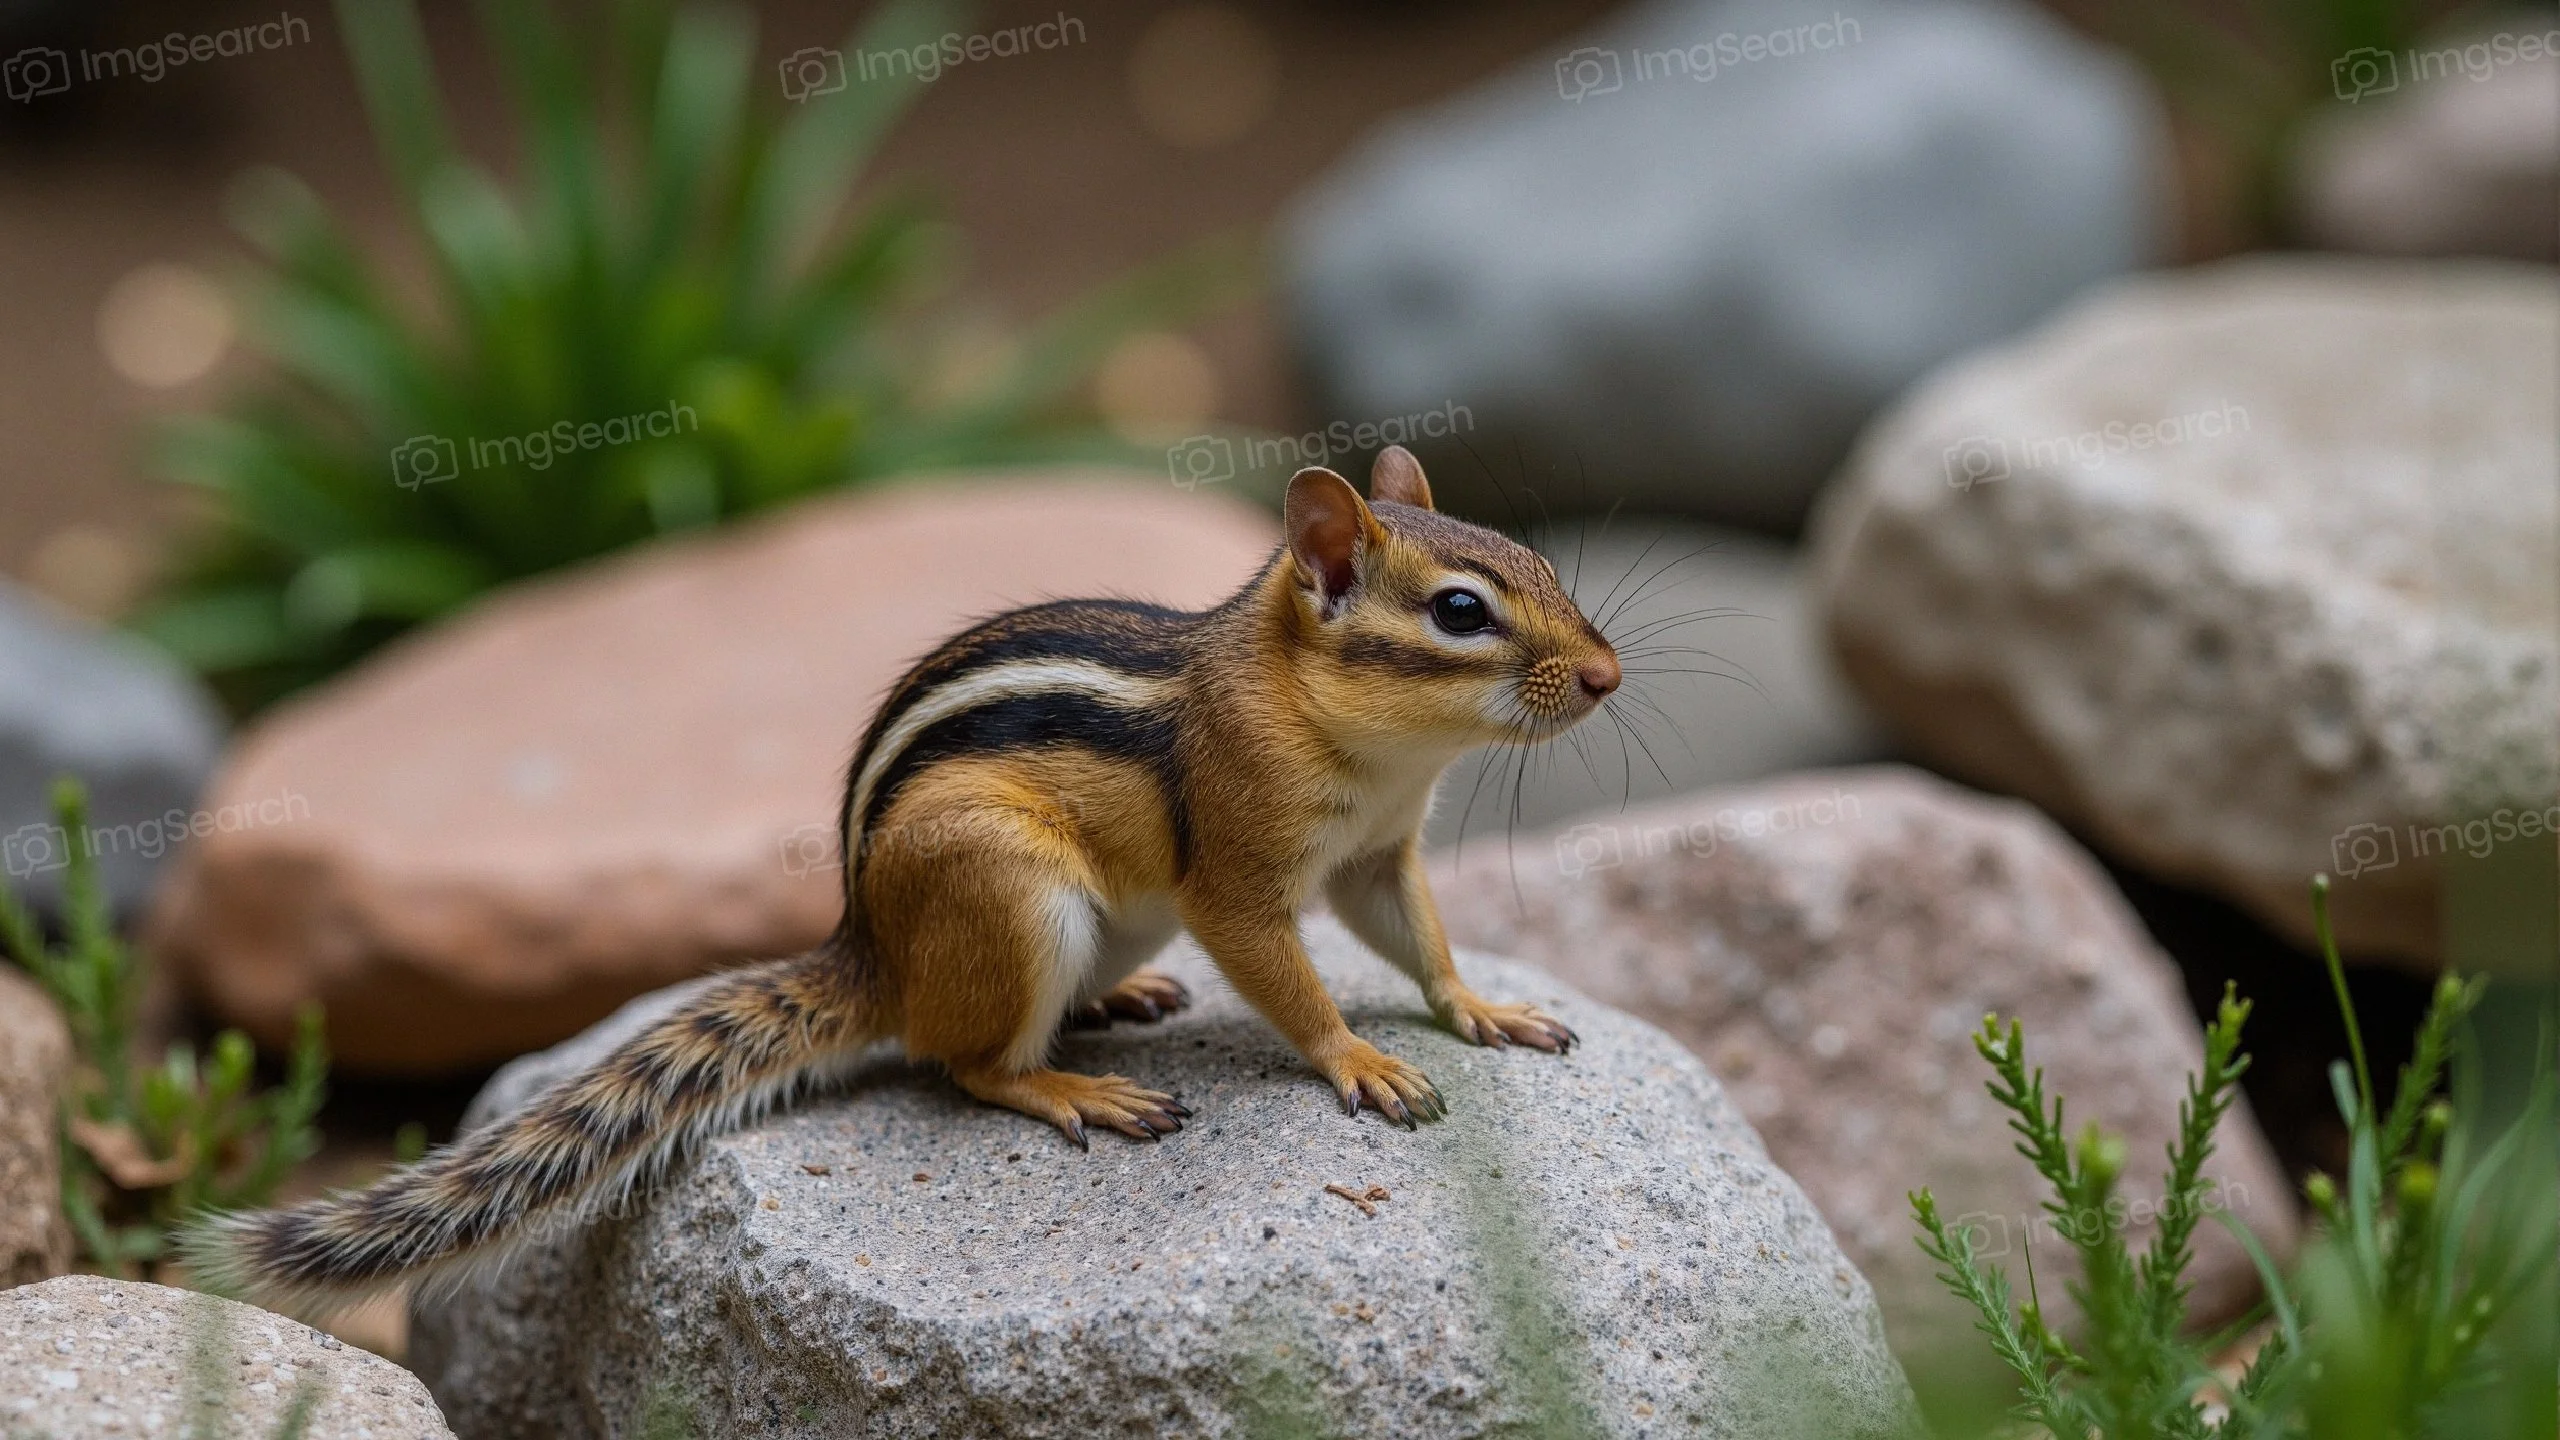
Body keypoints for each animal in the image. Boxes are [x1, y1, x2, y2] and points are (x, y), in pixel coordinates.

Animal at [186, 445, 1623, 1312]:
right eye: (1459, 611)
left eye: (1544, 567)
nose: (1611, 678)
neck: (1366, 744)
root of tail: (867, 945)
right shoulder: (1236, 878)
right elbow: (1290, 978)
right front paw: (1356, 1058)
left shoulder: (1381, 853)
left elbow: (1419, 938)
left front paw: (1483, 1010)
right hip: (1013, 887)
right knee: (960, 1059)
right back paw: (1073, 1086)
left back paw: (1121, 1008)